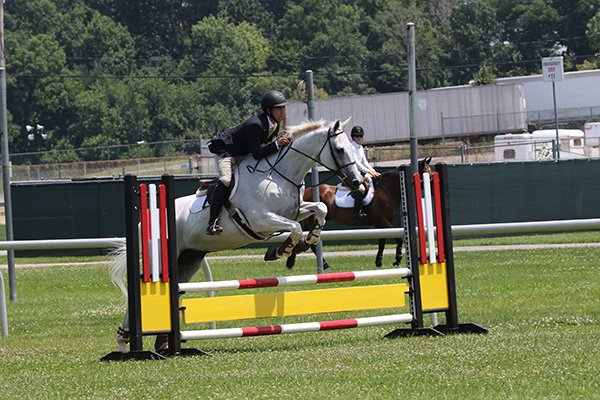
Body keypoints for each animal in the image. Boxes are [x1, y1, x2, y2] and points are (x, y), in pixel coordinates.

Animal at [109, 118, 360, 350]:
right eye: (340, 149)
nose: (357, 182)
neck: (279, 174)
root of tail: (146, 219)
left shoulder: (295, 211)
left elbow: (320, 208)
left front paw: (310, 239)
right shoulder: (261, 219)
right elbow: (295, 228)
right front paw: (283, 249)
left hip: (188, 260)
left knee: (175, 289)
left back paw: (157, 341)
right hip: (164, 261)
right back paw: (124, 340)